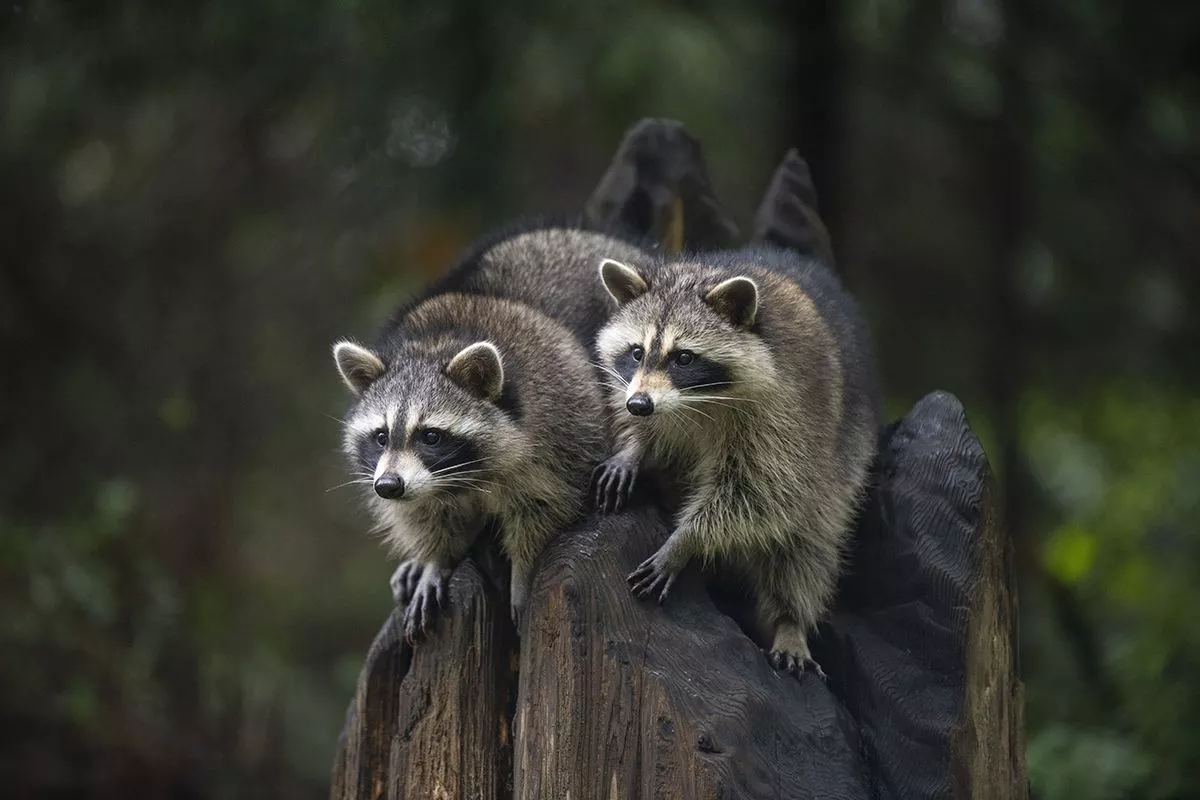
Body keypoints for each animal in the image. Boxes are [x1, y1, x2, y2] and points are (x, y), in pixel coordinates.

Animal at [333, 291, 605, 638]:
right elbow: (424, 515)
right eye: (381, 436)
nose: (388, 486)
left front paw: (524, 571)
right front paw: (436, 561)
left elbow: (543, 509)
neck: (436, 343)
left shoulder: (561, 433)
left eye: (430, 436)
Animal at [592, 246, 880, 677]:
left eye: (684, 358)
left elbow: (761, 495)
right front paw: (631, 449)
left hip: (839, 462)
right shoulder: (635, 391)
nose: (640, 405)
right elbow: (644, 427)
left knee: (807, 543)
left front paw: (685, 540)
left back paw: (789, 619)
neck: (694, 402)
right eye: (637, 352)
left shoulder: (786, 417)